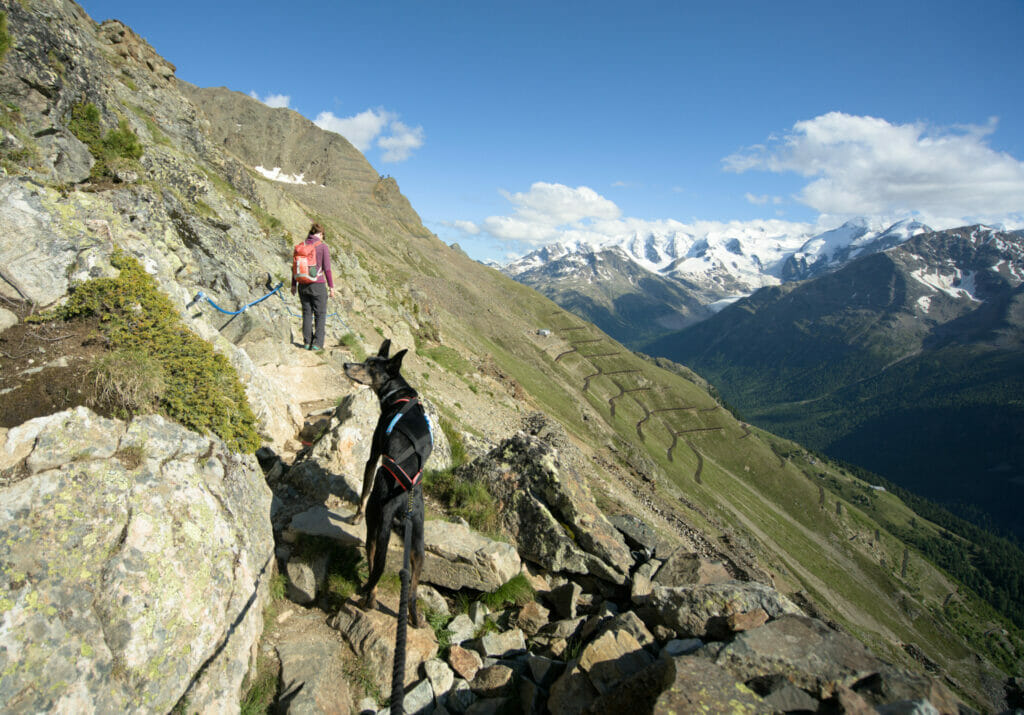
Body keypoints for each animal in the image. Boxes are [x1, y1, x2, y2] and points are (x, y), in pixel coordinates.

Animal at [344, 335, 432, 622]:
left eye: (371, 366)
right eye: (366, 360)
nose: (346, 364)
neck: (398, 395)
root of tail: (402, 503)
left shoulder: (373, 455)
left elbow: (363, 490)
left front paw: (354, 516)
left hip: (376, 529)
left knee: (375, 569)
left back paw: (368, 601)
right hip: (417, 545)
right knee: (413, 588)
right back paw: (414, 618)